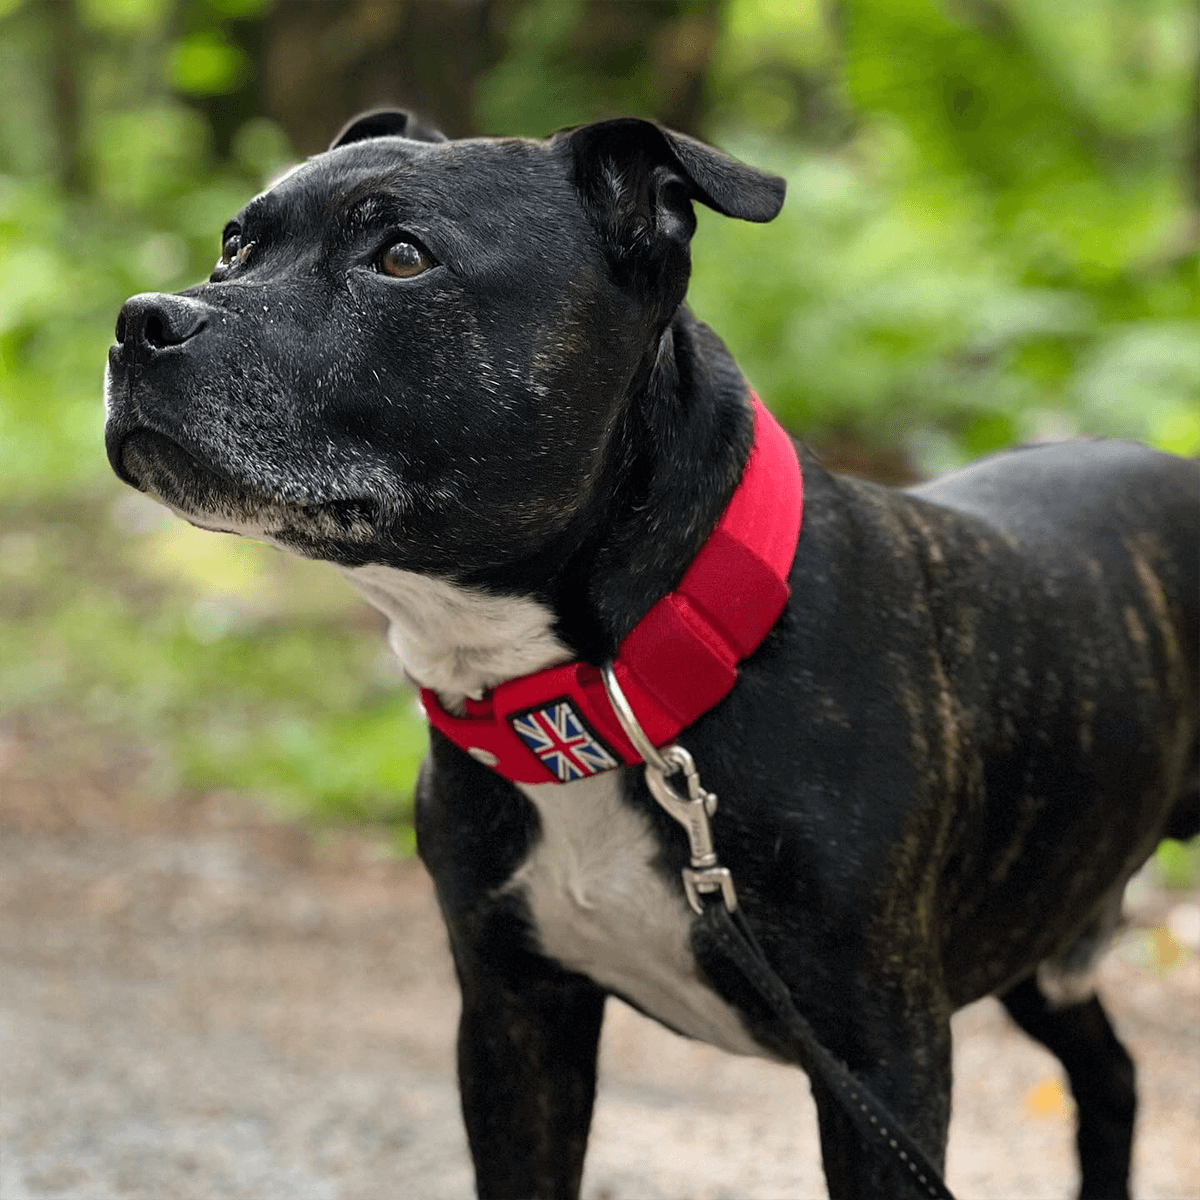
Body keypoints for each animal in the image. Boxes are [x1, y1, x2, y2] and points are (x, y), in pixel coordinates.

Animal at [105, 110, 1200, 1190]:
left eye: (403, 257)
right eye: (234, 245)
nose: (139, 320)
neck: (608, 694)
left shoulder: (883, 1059)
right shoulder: (514, 1021)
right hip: (1045, 932)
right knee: (1109, 1074)